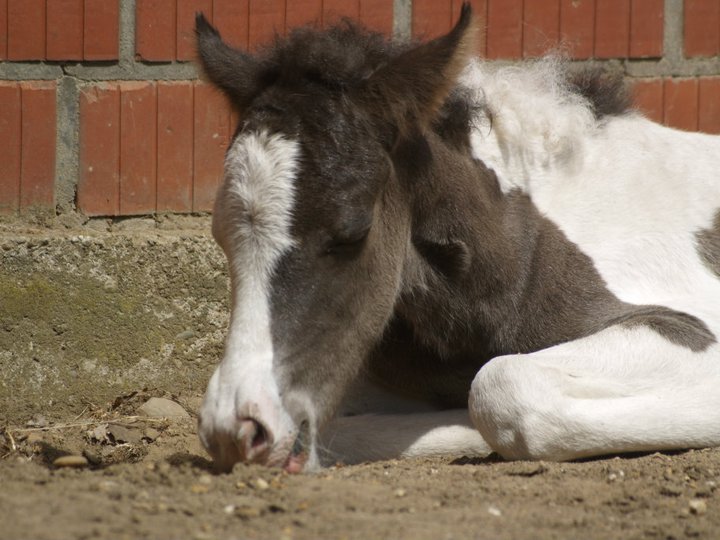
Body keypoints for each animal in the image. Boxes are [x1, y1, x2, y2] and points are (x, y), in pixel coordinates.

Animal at [194, 5, 720, 472]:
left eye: (352, 233)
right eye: (221, 237)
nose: (235, 429)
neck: (519, 256)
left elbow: (499, 385)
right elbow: (339, 426)